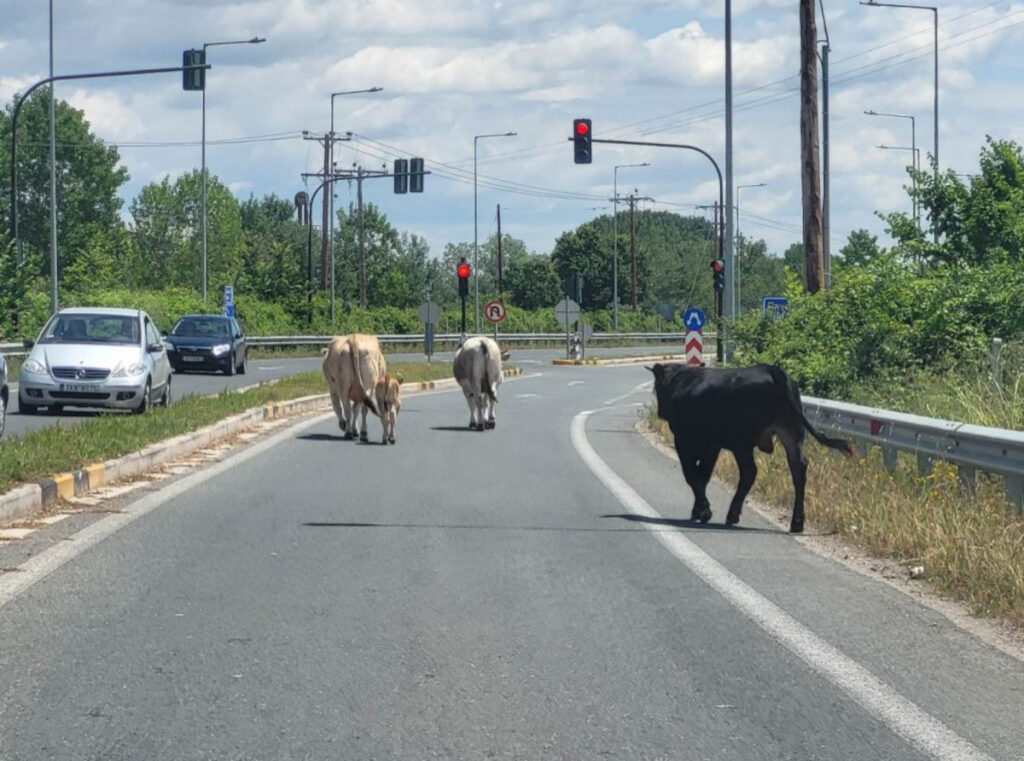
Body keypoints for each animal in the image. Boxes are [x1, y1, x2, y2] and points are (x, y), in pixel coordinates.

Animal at [647, 364, 856, 536]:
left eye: (656, 387)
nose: (660, 412)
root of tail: (771, 369)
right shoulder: (712, 446)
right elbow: (702, 476)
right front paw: (699, 510)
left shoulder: (685, 441)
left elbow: (692, 476)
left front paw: (703, 510)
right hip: (791, 434)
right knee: (798, 470)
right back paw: (796, 522)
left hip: (743, 443)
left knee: (750, 471)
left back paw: (732, 514)